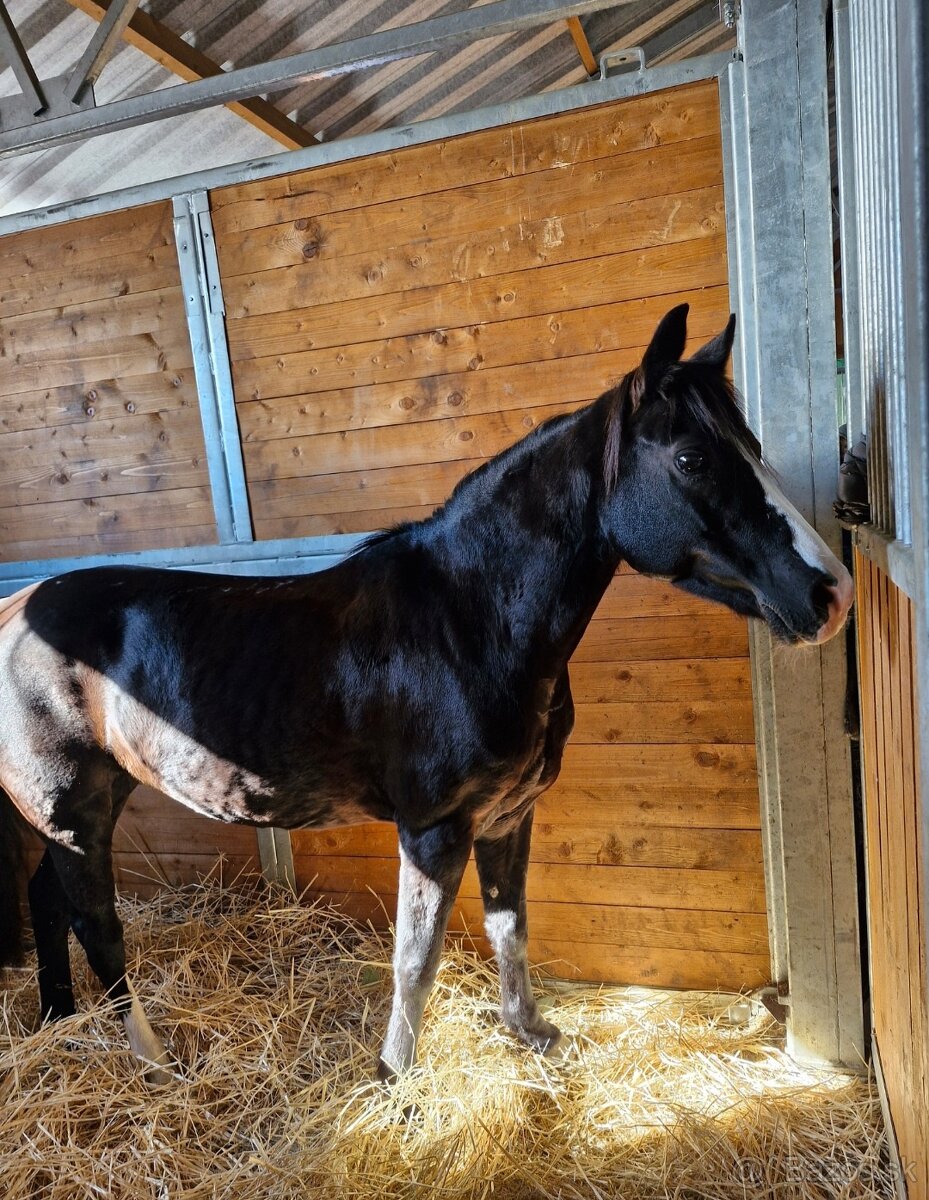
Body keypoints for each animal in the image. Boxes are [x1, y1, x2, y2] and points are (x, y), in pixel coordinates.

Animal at [0, 304, 853, 1085]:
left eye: (748, 450)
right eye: (690, 456)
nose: (830, 593)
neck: (467, 621)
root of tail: (15, 612)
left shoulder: (509, 816)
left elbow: (510, 927)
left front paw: (530, 1033)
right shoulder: (433, 830)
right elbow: (417, 958)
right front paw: (397, 1080)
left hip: (85, 804)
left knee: (47, 900)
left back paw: (57, 1018)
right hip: (73, 811)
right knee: (98, 925)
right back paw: (152, 1060)